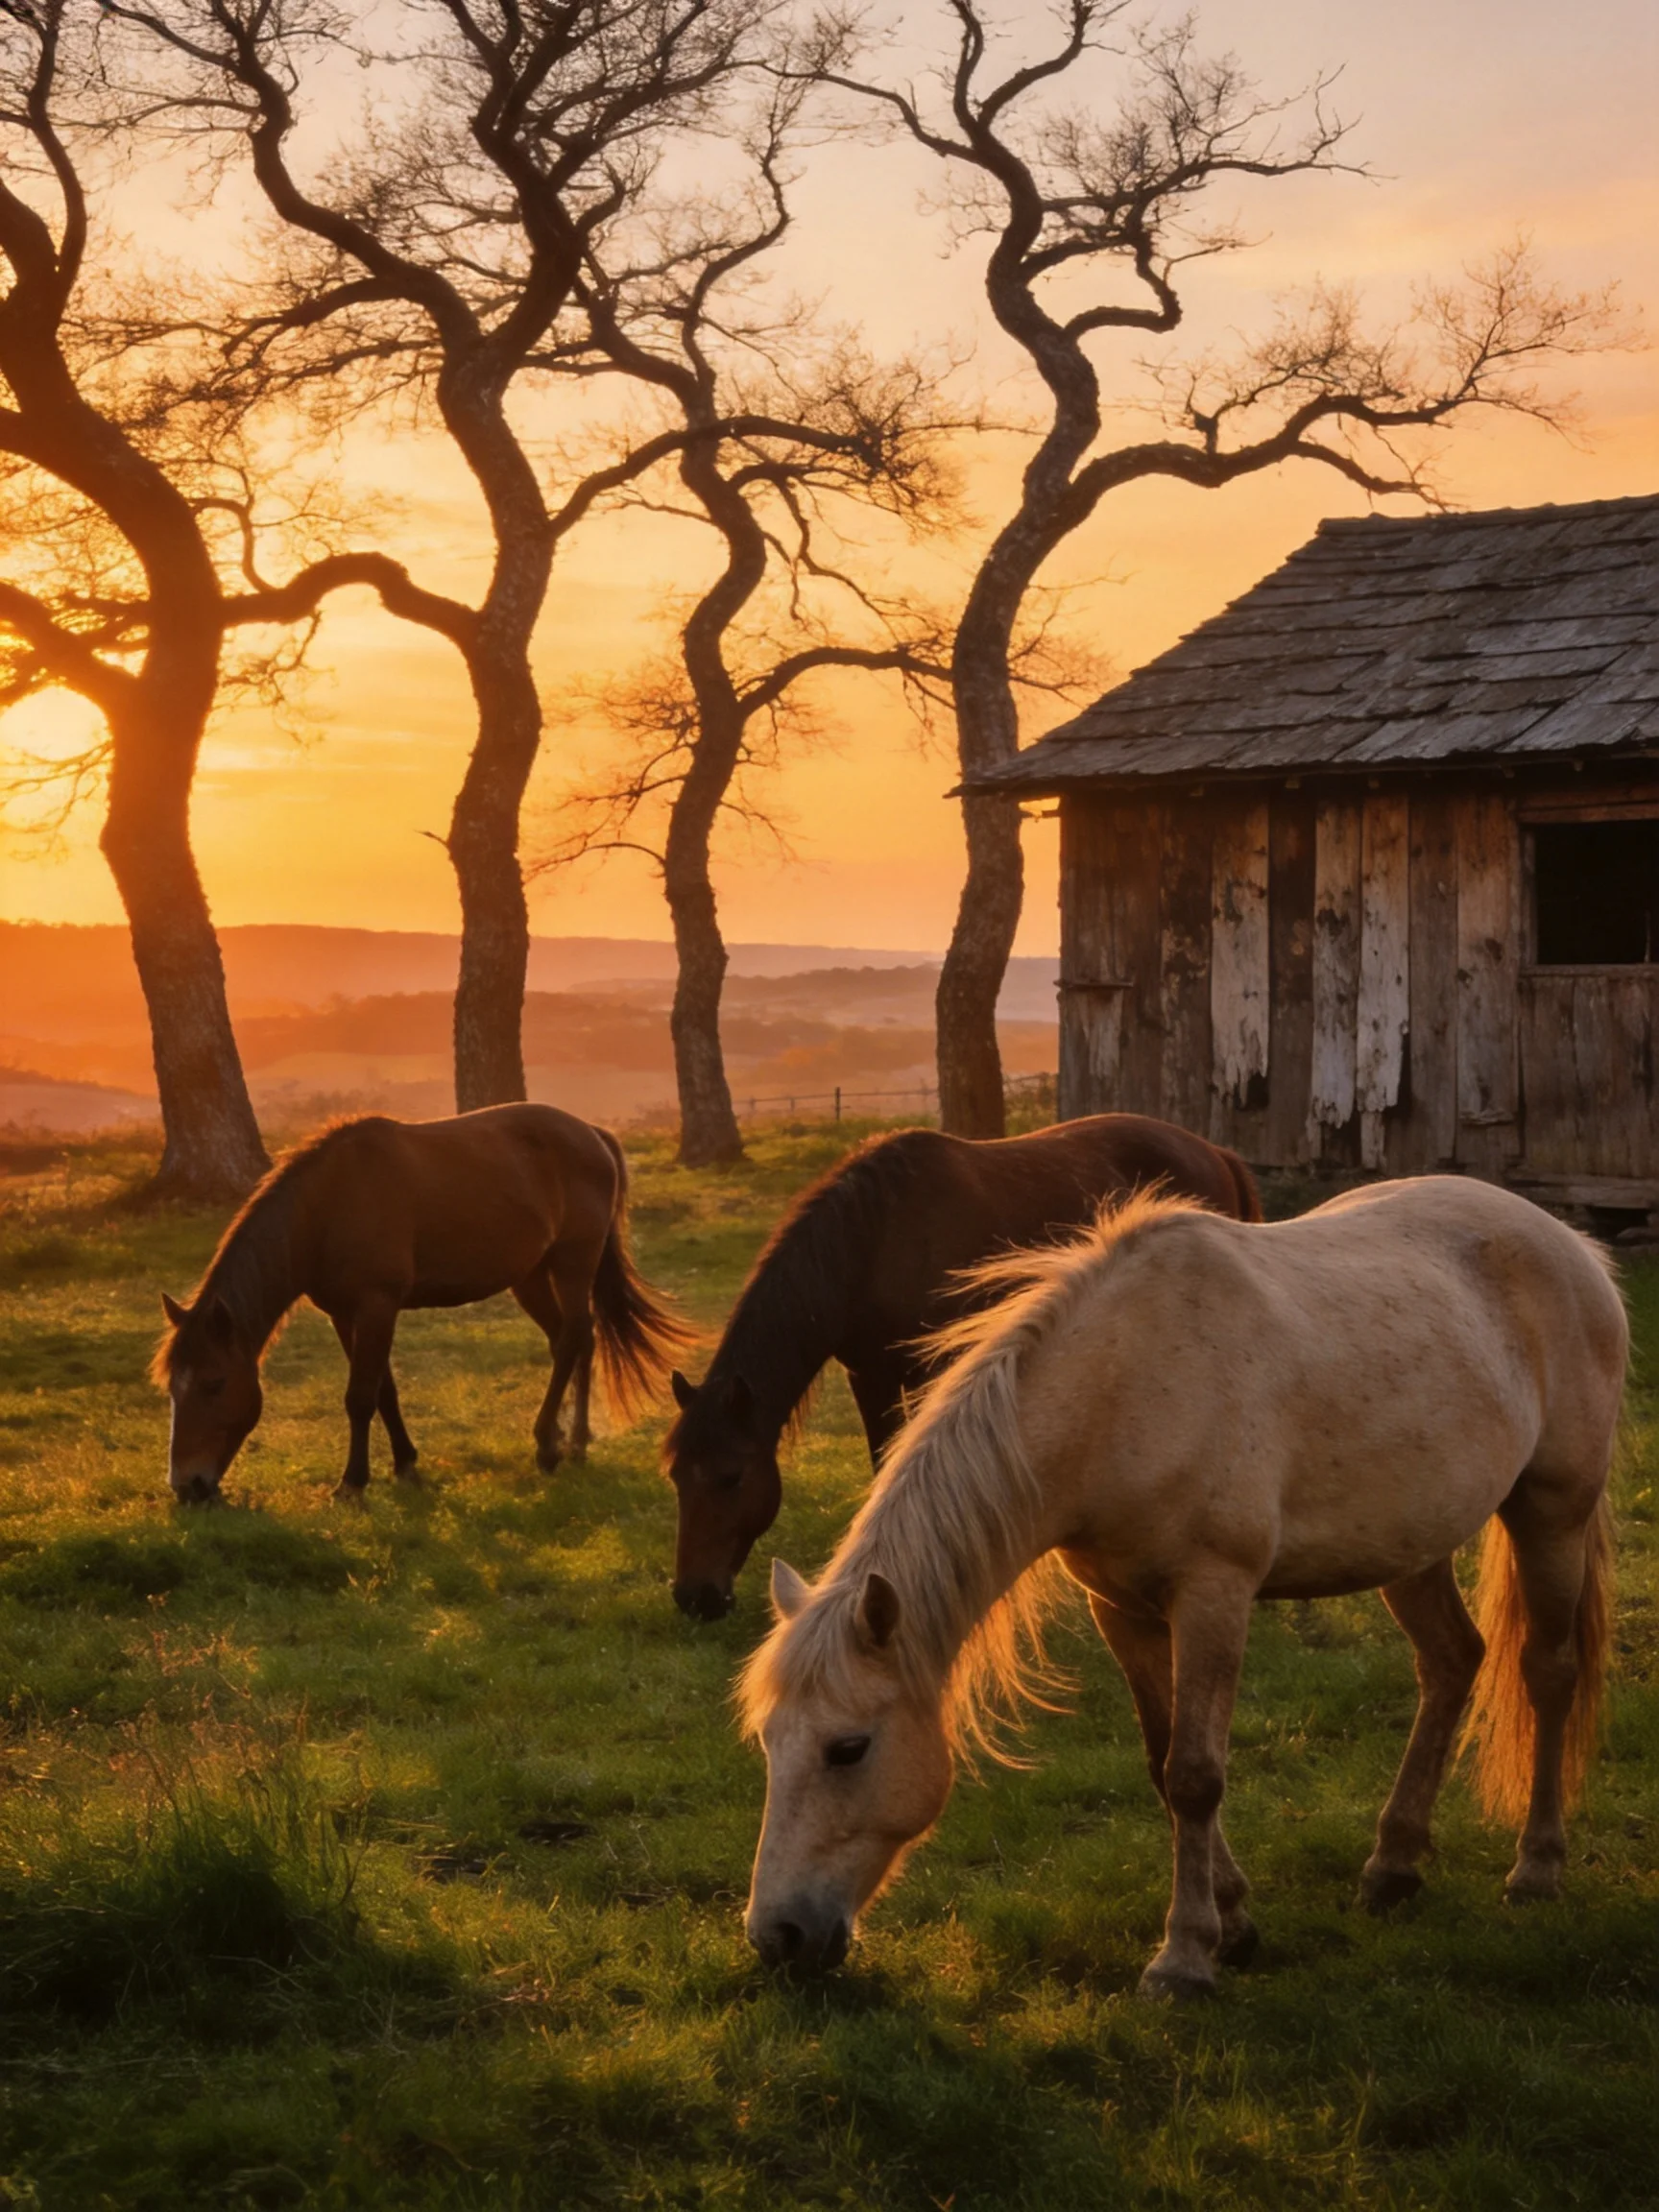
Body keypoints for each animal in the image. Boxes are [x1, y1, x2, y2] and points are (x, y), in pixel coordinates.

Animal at [153, 1104, 686, 1503]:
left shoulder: (376, 1306)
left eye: (215, 1383)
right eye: (171, 1389)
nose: (188, 1486)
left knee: (574, 1336)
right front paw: (406, 1466)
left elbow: (360, 1396)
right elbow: (383, 1390)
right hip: (532, 1276)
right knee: (574, 1340)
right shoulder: (346, 1315)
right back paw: (572, 1441)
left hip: (574, 1262)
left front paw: (353, 1483)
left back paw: (549, 1448)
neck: (327, 1207)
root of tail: (593, 1134)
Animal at [664, 1114, 1261, 1620]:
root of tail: (1216, 1152)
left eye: (731, 1476)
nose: (696, 1597)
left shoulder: (936, 1370)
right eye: (676, 1477)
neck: (877, 1238)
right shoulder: (870, 1378)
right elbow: (882, 1463)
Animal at [740, 1178, 1628, 1999]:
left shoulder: (1212, 1594)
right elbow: (1162, 1760)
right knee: (1451, 1662)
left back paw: (1536, 1868)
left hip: (1553, 1511)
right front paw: (1233, 1922)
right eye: (769, 1744)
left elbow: (1196, 1774)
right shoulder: (1121, 1608)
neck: (1118, 1387)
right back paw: (1392, 1867)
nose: (776, 1937)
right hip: (1411, 1543)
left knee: (1547, 1672)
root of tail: (1575, 1248)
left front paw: (1185, 1959)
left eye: (848, 1748)